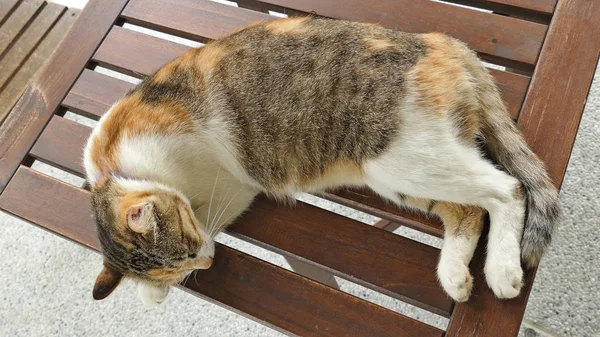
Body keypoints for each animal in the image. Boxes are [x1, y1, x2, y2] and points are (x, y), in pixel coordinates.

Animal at [84, 16, 556, 304]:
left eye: (185, 246)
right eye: (182, 259)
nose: (207, 260)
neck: (115, 167)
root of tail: (438, 41)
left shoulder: (231, 186)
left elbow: (212, 213)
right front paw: (154, 290)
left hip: (403, 158)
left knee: (508, 188)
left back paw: (502, 270)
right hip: (399, 177)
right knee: (468, 211)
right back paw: (456, 276)